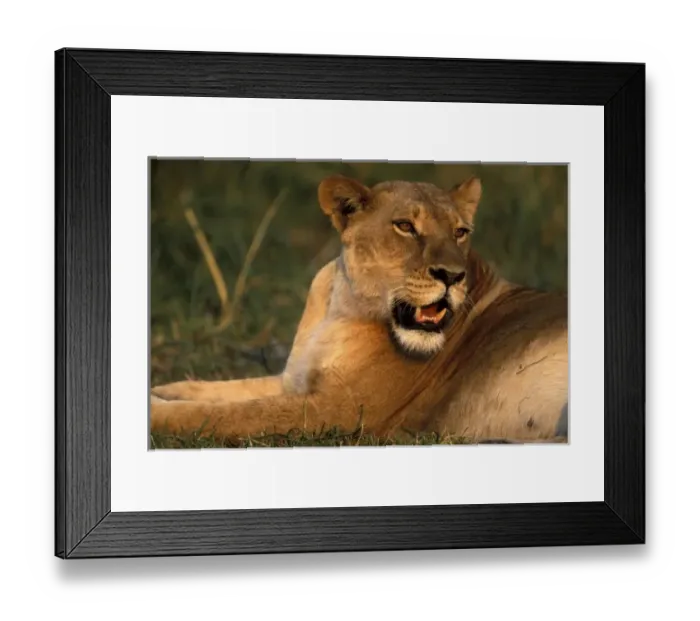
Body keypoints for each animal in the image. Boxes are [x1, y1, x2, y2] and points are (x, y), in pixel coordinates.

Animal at [150, 175, 569, 444]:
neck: (342, 306)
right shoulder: (295, 381)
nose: (452, 276)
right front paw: (162, 389)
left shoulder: (340, 412)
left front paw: (153, 411)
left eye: (460, 232)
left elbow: (228, 414)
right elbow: (222, 390)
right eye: (405, 227)